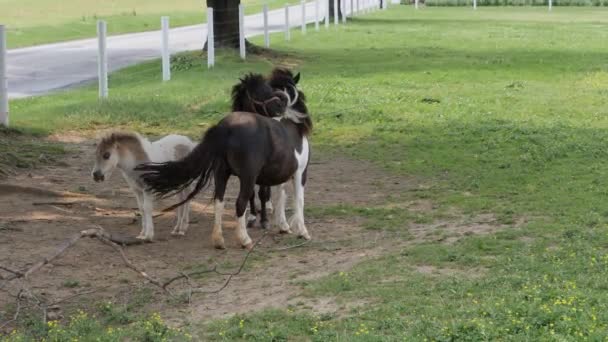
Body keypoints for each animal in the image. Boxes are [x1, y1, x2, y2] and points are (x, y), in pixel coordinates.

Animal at [135, 68, 312, 250]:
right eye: (260, 92)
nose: (280, 105)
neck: (292, 125)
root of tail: (227, 127)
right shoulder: (300, 173)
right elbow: (298, 200)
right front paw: (302, 231)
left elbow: (280, 197)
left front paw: (283, 225)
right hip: (247, 177)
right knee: (240, 203)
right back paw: (244, 240)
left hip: (221, 173)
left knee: (219, 202)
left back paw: (219, 240)